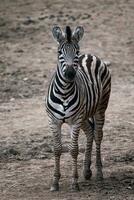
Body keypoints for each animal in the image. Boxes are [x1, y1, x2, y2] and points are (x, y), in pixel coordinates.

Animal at [45, 25, 111, 191]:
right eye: (59, 52)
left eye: (76, 52)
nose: (69, 74)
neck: (64, 92)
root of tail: (89, 55)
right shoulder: (53, 121)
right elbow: (57, 149)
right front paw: (55, 182)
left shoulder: (75, 121)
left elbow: (73, 149)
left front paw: (74, 183)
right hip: (84, 115)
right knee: (89, 133)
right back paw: (86, 171)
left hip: (100, 107)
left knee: (97, 135)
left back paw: (99, 173)